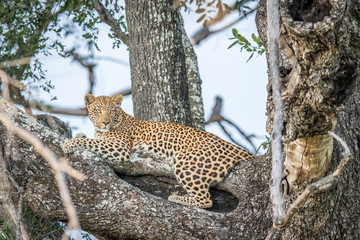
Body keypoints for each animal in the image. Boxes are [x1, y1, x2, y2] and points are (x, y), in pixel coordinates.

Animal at [64, 94, 256, 208]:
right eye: (98, 110)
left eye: (112, 111)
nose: (105, 122)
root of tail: (235, 148)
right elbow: (90, 138)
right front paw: (78, 136)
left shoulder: (119, 147)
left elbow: (89, 142)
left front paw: (68, 144)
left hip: (186, 163)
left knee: (206, 200)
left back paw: (177, 198)